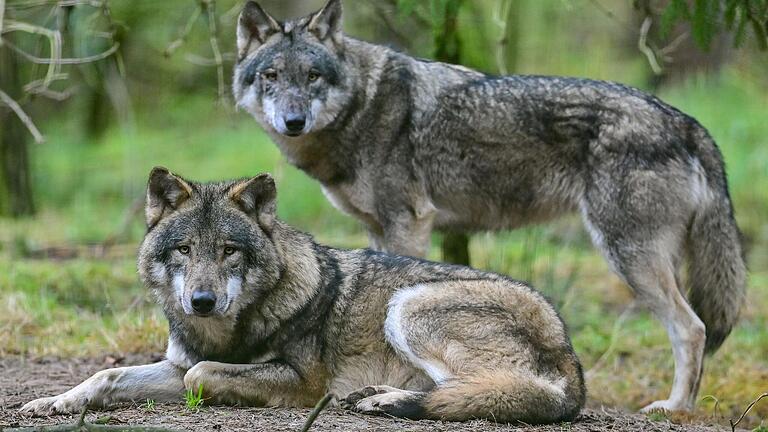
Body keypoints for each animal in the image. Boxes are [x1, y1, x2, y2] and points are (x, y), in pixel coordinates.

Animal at [22, 167, 588, 424]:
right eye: (183, 249)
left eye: (229, 250)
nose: (201, 301)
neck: (227, 331)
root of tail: (569, 352)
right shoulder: (177, 362)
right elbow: (109, 375)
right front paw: (53, 401)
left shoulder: (302, 381)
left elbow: (202, 376)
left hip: (408, 306)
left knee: (484, 391)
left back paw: (385, 400)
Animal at [234, 0, 752, 412]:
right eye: (271, 77)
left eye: (313, 77)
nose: (294, 121)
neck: (363, 104)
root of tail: (686, 121)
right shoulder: (379, 230)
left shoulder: (409, 223)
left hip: (628, 257)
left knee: (692, 329)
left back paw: (676, 408)